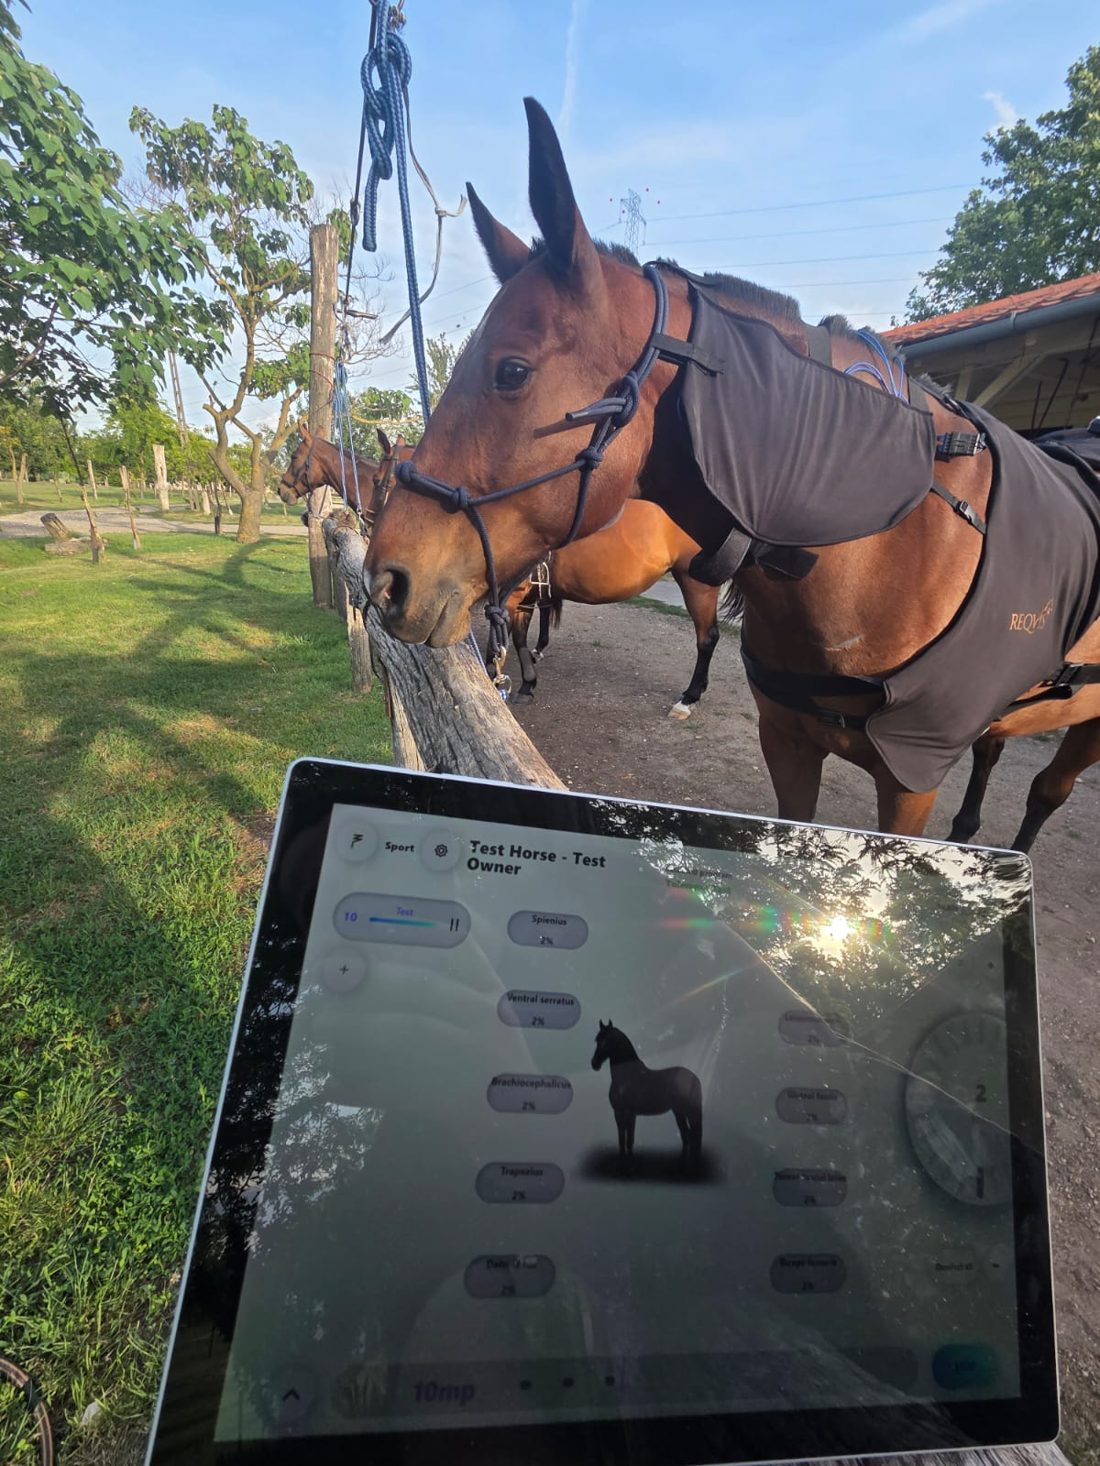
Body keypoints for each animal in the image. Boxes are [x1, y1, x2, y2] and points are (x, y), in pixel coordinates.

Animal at [365, 97, 1100, 853]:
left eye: (511, 371)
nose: (385, 581)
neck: (888, 541)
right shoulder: (787, 740)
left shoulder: (909, 781)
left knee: (1046, 791)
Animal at [590, 1020, 702, 1167]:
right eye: (597, 1040)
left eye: (608, 1040)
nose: (594, 1064)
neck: (626, 1077)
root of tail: (694, 1077)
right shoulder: (627, 1114)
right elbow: (626, 1140)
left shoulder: (624, 1113)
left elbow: (625, 1140)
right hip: (679, 1111)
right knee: (686, 1135)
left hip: (687, 1111)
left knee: (691, 1135)